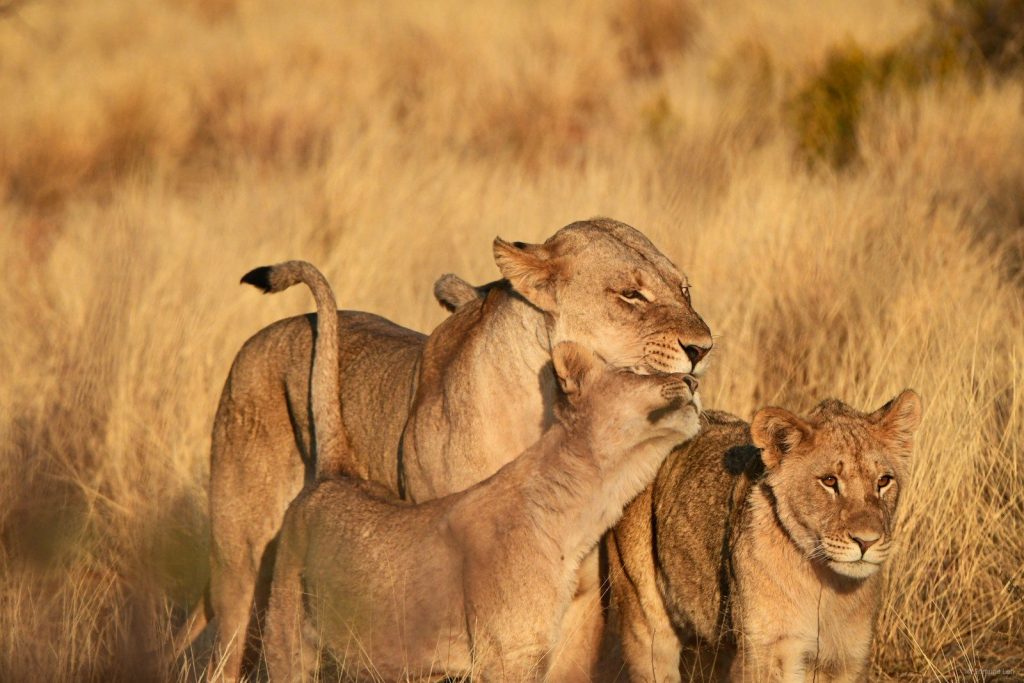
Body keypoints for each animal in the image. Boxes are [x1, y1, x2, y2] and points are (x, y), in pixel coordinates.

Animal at [184, 219, 714, 681]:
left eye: (685, 289)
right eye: (631, 294)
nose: (703, 349)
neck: (542, 419)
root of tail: (273, 331)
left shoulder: (579, 606)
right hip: (243, 566)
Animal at [604, 392, 922, 682]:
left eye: (883, 481)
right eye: (830, 481)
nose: (866, 541)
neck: (827, 589)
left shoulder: (847, 659)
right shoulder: (767, 653)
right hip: (646, 623)